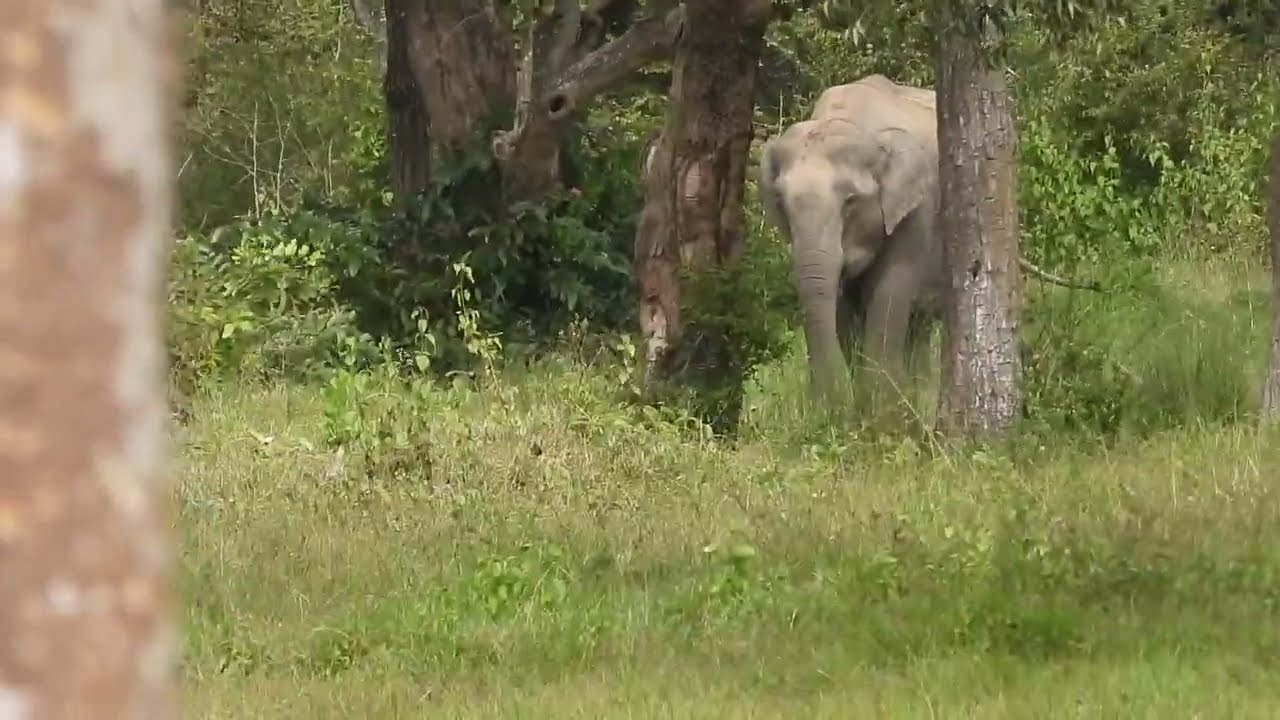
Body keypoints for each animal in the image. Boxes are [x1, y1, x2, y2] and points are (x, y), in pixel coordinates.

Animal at [758, 74, 1095, 403]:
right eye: (780, 204)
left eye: (850, 202)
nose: (827, 399)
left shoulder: (918, 206)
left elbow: (890, 287)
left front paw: (881, 405)